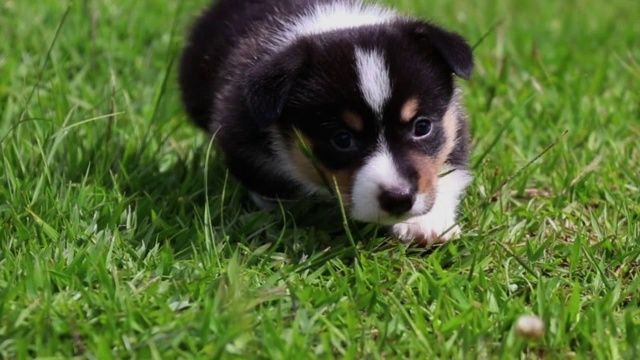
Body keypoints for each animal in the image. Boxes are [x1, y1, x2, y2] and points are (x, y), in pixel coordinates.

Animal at [178, 0, 472, 245]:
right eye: (342, 139)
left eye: (422, 127)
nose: (399, 198)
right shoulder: (239, 137)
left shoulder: (454, 126)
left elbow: (446, 170)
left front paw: (425, 224)